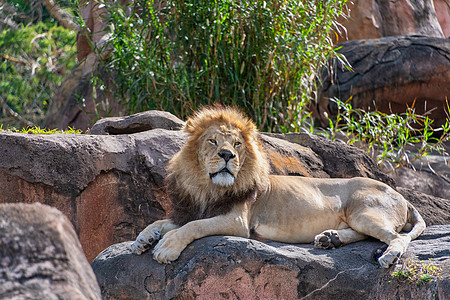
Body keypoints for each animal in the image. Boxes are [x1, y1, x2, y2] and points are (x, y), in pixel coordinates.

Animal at [130, 105, 426, 268]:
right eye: (212, 141)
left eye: (236, 144)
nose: (227, 155)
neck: (207, 186)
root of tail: (401, 194)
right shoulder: (192, 209)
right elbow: (163, 221)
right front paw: (143, 239)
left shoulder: (237, 222)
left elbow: (193, 227)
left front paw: (166, 248)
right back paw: (330, 239)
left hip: (365, 211)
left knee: (398, 237)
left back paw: (387, 257)